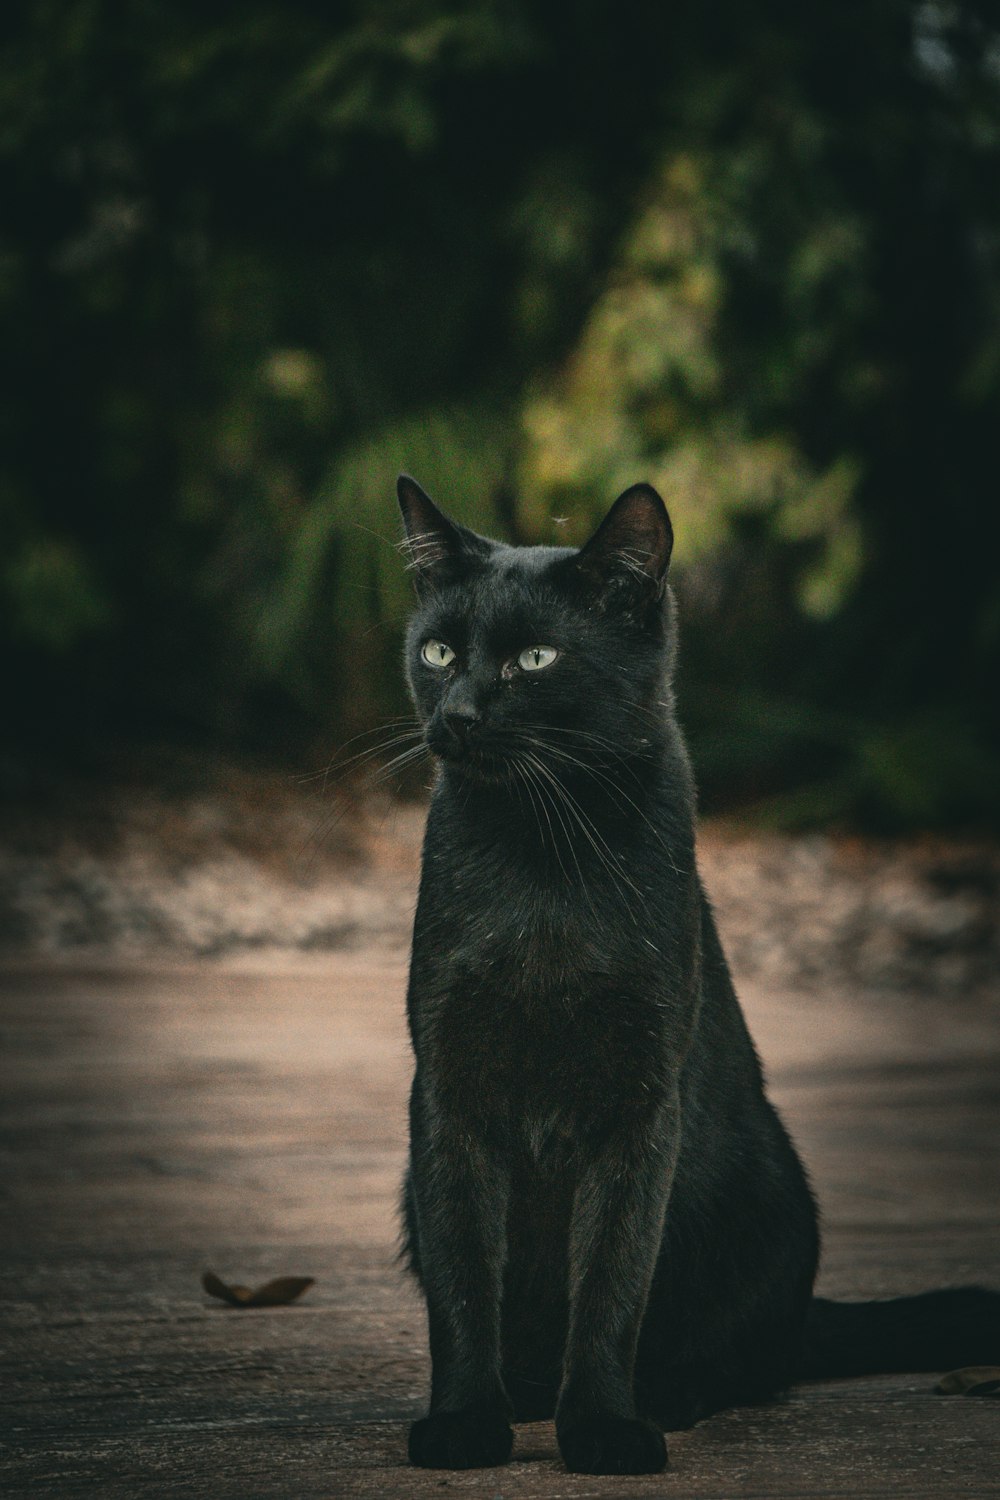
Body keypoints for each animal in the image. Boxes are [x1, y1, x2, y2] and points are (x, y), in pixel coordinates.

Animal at [395, 477, 995, 1476]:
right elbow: (463, 1276)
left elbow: (612, 1280)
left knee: (751, 1363)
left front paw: (603, 1429)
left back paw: (667, 1394)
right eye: (439, 652)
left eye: (534, 659)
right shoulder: (448, 1088)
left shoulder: (642, 1102)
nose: (461, 716)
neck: (542, 855)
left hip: (767, 1197)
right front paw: (467, 1421)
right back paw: (527, 1391)